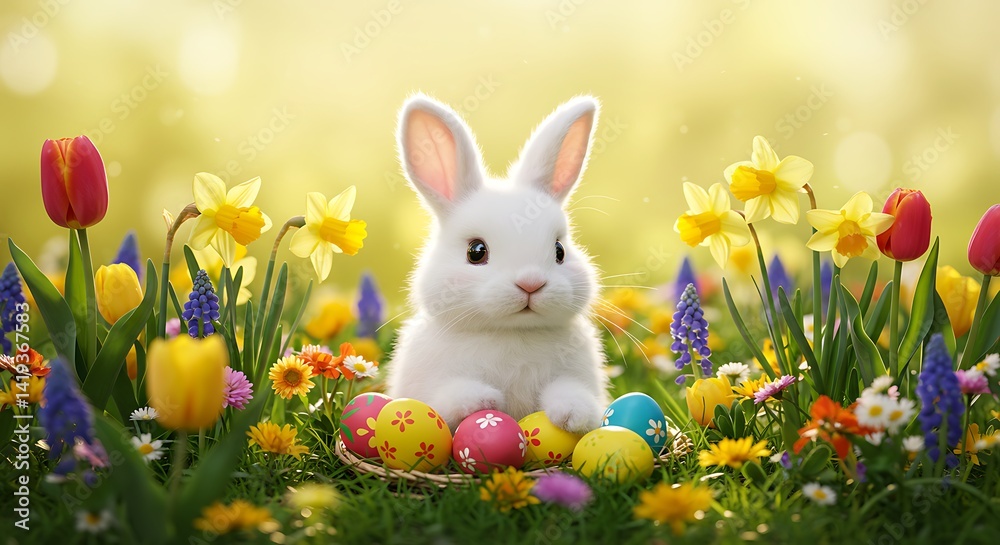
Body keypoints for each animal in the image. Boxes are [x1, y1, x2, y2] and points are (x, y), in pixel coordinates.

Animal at [386, 93, 609, 434]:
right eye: (476, 251)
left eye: (559, 250)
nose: (531, 283)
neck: (511, 332)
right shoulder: (432, 386)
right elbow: (448, 399)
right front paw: (484, 401)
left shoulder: (577, 375)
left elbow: (570, 391)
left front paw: (572, 415)